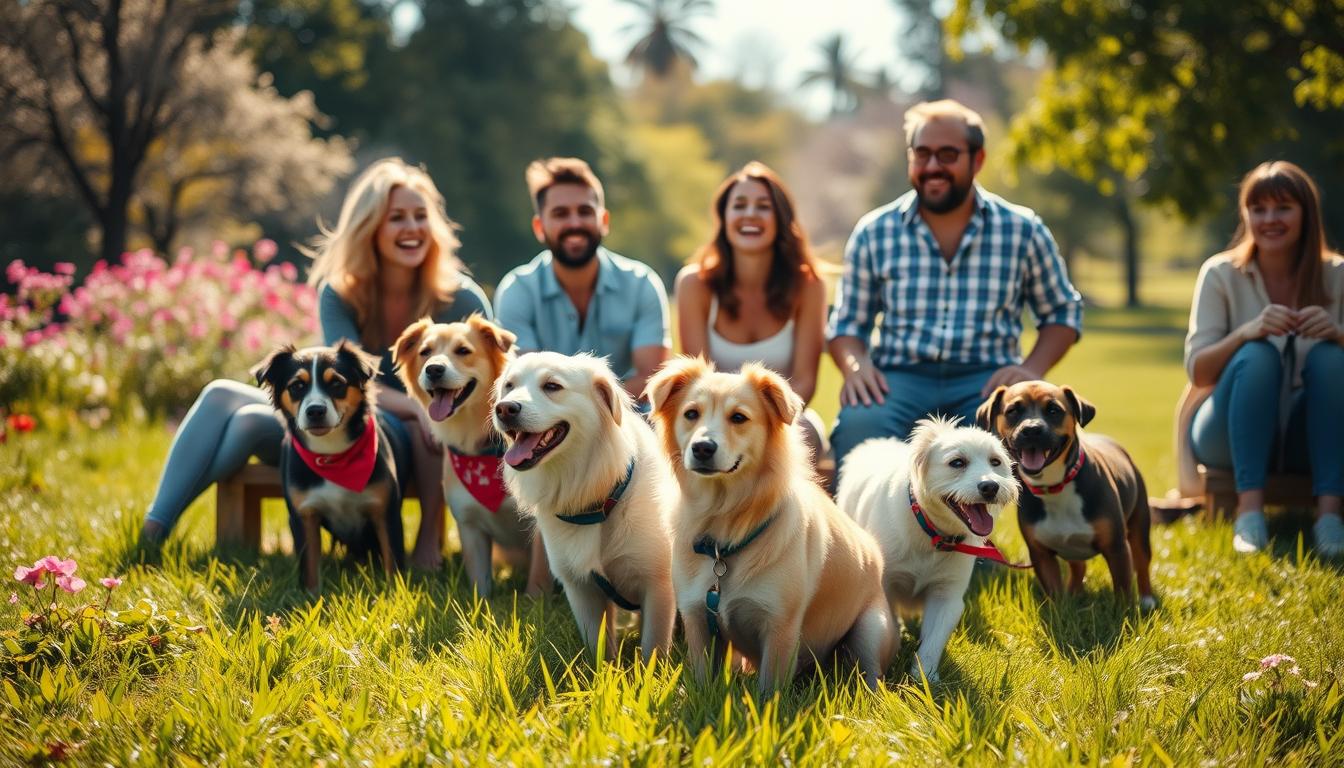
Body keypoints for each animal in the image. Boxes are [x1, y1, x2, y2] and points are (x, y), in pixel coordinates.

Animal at [254, 342, 403, 594]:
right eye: (297, 386)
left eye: (336, 383)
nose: (315, 411)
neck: (332, 457)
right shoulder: (304, 516)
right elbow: (310, 567)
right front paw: (312, 596)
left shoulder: (385, 511)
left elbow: (393, 561)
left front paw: (396, 594)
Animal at [491, 355, 677, 661]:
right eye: (509, 386)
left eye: (552, 386)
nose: (504, 408)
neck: (597, 500)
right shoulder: (581, 589)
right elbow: (598, 648)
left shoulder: (658, 587)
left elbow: (653, 648)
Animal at [647, 357, 897, 694]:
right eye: (691, 414)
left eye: (738, 417)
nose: (702, 448)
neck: (725, 526)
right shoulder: (697, 615)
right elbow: (702, 679)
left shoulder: (780, 626)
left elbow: (769, 690)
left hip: (872, 629)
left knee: (870, 675)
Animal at [838, 416, 1016, 683]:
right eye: (957, 462)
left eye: (996, 462)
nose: (991, 486)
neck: (933, 536)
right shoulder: (886, 586)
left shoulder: (947, 595)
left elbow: (933, 642)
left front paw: (925, 676)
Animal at [978, 381, 1155, 610]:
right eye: (1013, 411)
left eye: (1054, 410)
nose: (1032, 429)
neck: (1054, 487)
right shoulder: (1041, 555)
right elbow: (1054, 592)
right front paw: (1061, 610)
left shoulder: (1116, 548)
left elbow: (1123, 590)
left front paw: (1124, 613)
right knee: (1079, 567)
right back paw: (1075, 593)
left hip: (1140, 526)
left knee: (1142, 562)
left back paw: (1147, 598)